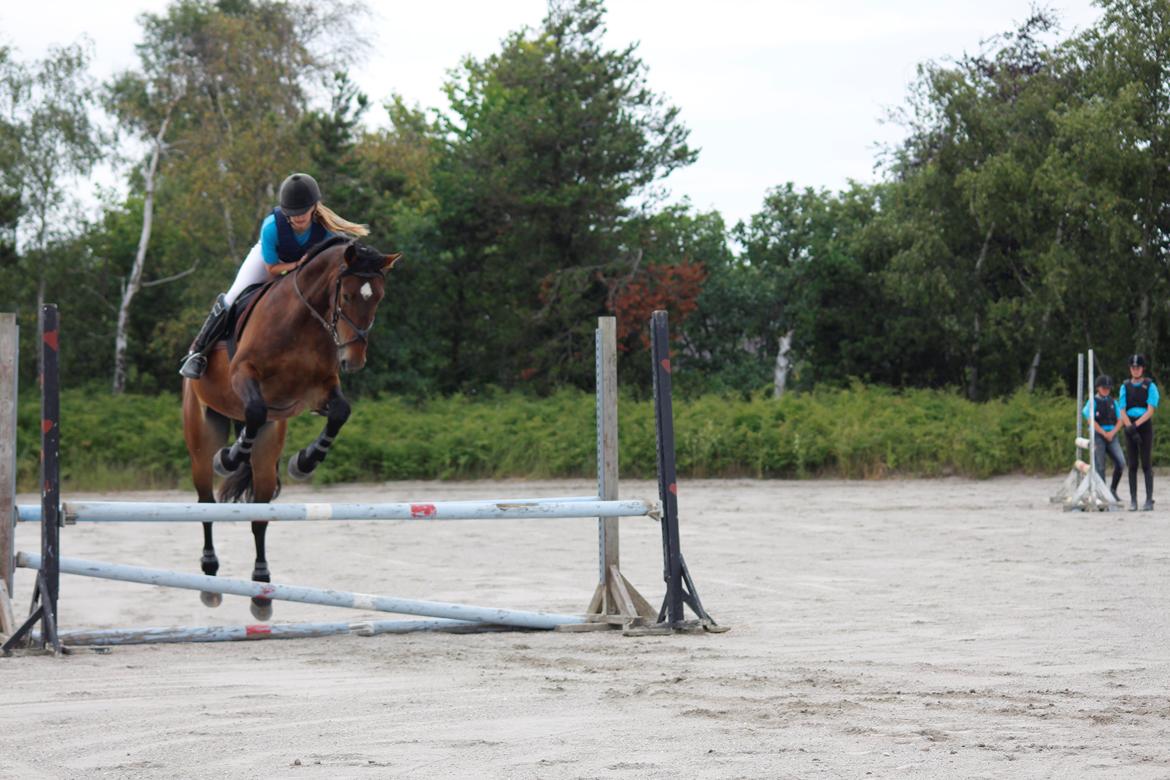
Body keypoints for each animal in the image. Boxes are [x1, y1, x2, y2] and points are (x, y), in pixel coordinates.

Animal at [180, 239, 402, 622]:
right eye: (346, 297)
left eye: (378, 298)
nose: (354, 360)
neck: (303, 323)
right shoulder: (244, 375)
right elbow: (254, 409)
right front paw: (230, 457)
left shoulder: (318, 391)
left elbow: (340, 412)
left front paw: (306, 461)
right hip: (201, 436)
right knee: (206, 503)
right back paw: (210, 577)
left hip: (268, 449)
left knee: (259, 515)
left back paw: (261, 591)